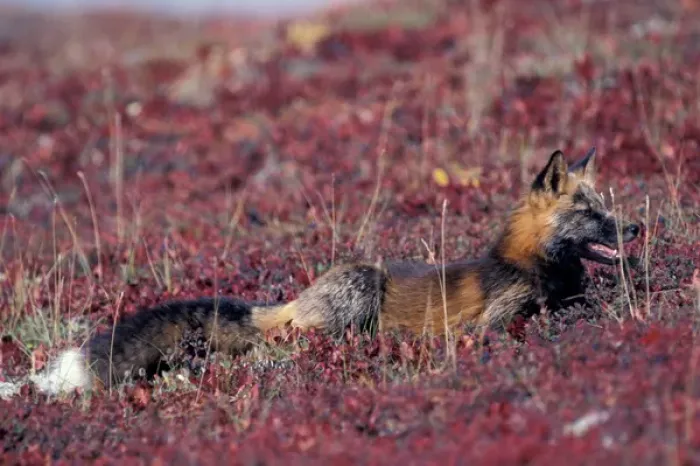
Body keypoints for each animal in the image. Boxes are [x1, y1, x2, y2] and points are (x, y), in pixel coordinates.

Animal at [32, 147, 640, 395]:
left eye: (605, 206)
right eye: (591, 213)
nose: (634, 229)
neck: (529, 265)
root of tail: (295, 299)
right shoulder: (491, 322)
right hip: (361, 283)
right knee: (280, 350)